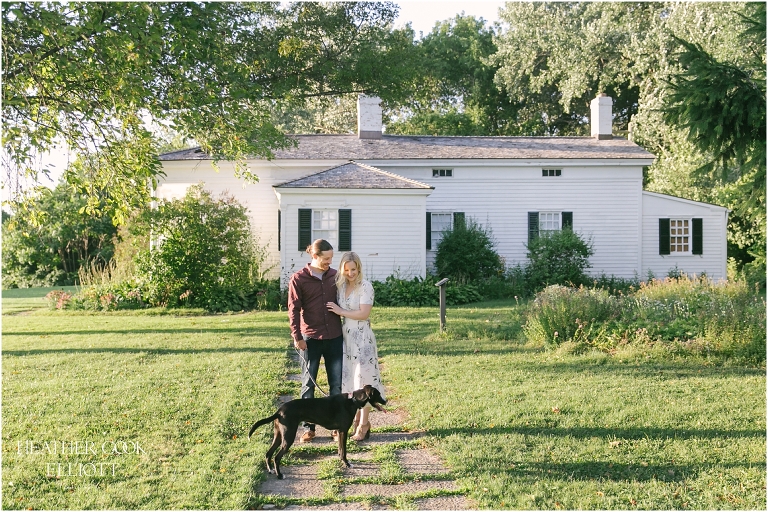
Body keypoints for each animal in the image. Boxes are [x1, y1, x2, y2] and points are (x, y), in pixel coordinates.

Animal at [249, 384, 388, 480]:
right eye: (378, 394)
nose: (386, 401)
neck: (352, 400)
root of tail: (279, 411)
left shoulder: (340, 431)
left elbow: (340, 449)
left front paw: (341, 461)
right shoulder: (343, 431)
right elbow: (344, 451)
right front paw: (347, 464)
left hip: (279, 435)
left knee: (268, 453)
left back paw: (271, 471)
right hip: (288, 437)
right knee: (277, 457)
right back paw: (279, 475)